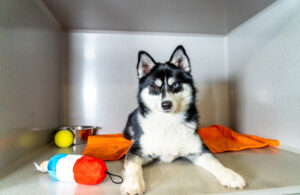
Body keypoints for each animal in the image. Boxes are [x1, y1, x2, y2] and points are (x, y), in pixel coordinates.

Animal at [120, 46, 245, 195]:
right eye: (154, 87)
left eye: (176, 85)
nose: (166, 104)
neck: (168, 122)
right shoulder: (136, 150)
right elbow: (133, 166)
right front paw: (133, 183)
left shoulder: (199, 150)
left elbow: (215, 162)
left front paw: (230, 175)